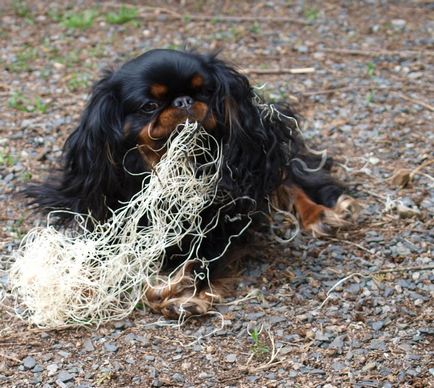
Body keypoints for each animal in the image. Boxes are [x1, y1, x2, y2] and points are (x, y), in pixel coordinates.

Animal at [27, 49, 358, 318]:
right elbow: (101, 258)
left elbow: (201, 263)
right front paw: (83, 286)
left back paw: (319, 213)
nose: (184, 100)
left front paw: (179, 295)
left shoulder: (223, 227)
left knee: (289, 178)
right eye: (149, 105)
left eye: (206, 91)